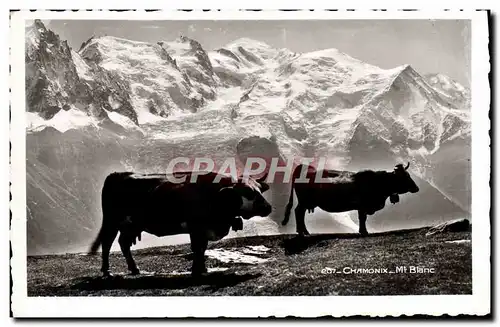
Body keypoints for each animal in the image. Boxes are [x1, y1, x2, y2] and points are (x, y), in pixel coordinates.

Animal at [89, 172, 270, 276]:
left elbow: (202, 248)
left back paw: (134, 269)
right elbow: (197, 248)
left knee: (123, 243)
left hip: (131, 225)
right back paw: (107, 271)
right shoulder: (196, 227)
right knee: (107, 243)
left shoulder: (203, 230)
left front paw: (202, 268)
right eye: (248, 192)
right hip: (111, 221)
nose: (268, 207)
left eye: (260, 189)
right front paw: (197, 270)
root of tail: (118, 174)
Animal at [284, 163, 420, 236]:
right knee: (298, 212)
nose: (416, 188)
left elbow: (362, 218)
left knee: (299, 213)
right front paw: (364, 232)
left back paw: (304, 231)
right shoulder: (363, 206)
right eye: (405, 176)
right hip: (304, 201)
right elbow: (362, 218)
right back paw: (302, 232)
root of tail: (305, 168)